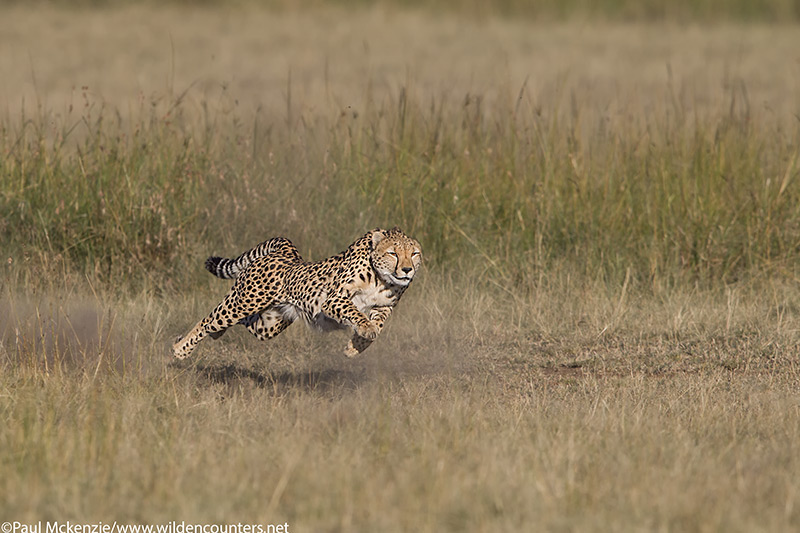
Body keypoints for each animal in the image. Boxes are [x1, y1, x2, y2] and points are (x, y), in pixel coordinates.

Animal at [172, 224, 422, 358]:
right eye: (393, 253)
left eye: (414, 254)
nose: (407, 269)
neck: (382, 279)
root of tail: (286, 253)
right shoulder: (333, 299)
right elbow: (355, 313)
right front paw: (363, 330)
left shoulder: (384, 306)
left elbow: (377, 326)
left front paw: (355, 347)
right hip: (243, 302)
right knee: (208, 320)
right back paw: (180, 348)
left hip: (269, 325)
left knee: (242, 322)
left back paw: (213, 335)